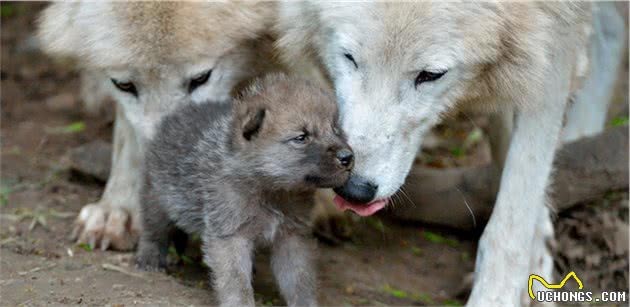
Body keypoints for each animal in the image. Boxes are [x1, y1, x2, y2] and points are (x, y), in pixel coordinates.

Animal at [278, 1, 628, 306]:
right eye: (349, 57)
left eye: (431, 75)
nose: (354, 189)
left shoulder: (555, 33)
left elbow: (513, 213)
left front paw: (498, 295)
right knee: (609, 28)